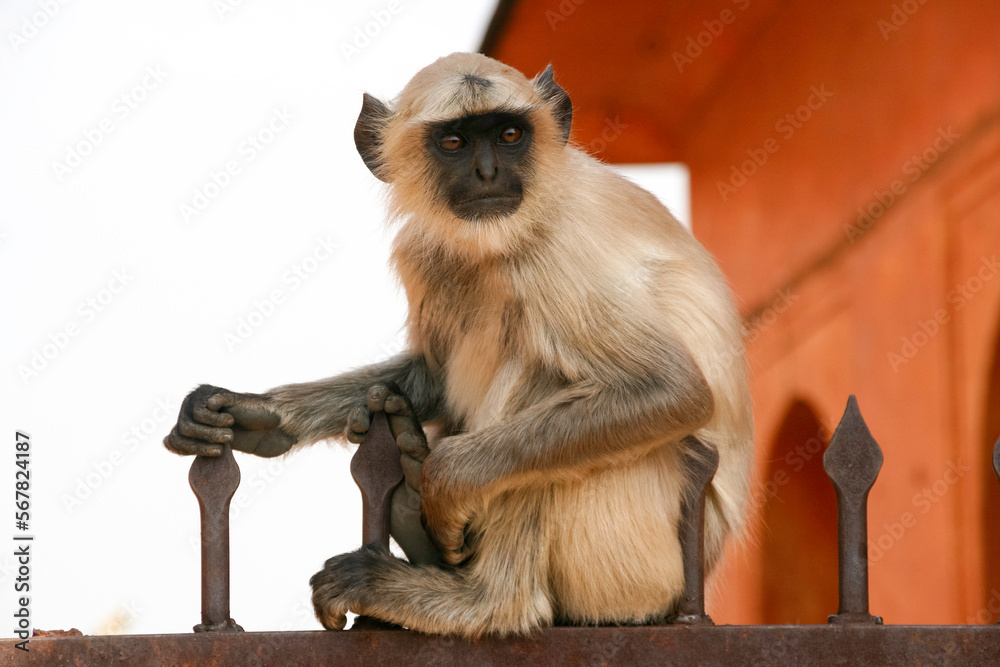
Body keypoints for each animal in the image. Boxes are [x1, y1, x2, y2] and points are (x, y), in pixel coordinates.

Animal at [164, 52, 753, 638]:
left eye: (510, 134)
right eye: (454, 143)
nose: (488, 172)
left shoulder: (558, 247)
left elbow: (668, 389)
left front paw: (442, 489)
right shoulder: (425, 249)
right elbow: (433, 373)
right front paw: (262, 417)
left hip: (639, 557)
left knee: (547, 373)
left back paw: (479, 597)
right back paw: (409, 496)